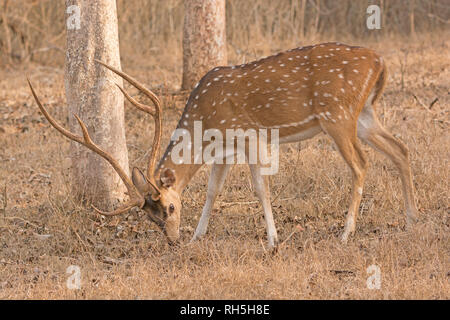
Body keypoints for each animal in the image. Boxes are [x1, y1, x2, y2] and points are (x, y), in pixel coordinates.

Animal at [28, 43, 418, 248]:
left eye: (169, 208)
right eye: (151, 218)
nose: (172, 241)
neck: (205, 120)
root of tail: (380, 61)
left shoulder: (249, 135)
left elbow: (260, 186)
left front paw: (273, 240)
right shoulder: (224, 149)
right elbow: (213, 190)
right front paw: (198, 237)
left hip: (337, 116)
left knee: (362, 164)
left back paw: (345, 233)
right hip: (364, 115)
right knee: (400, 148)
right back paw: (412, 218)